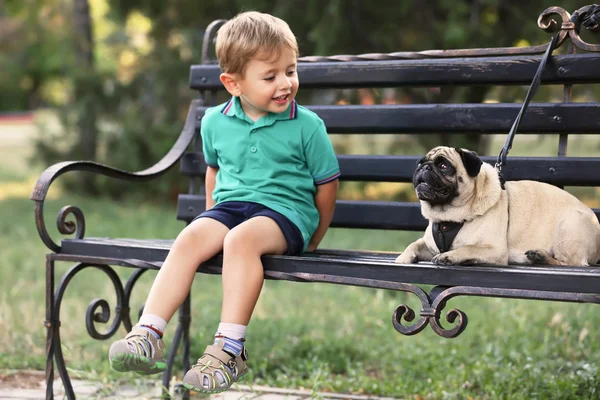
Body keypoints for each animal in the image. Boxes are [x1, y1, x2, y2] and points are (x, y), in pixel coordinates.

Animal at [394, 146, 600, 266]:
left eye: (443, 166)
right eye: (420, 163)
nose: (424, 167)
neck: (447, 217)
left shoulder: (494, 250)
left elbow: (468, 248)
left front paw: (449, 256)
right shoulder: (429, 245)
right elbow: (414, 243)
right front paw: (404, 257)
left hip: (569, 224)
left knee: (570, 263)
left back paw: (540, 257)